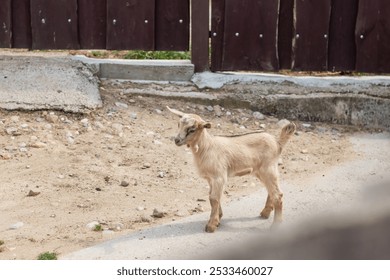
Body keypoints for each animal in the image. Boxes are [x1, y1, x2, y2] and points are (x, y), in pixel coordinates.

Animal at [167, 106, 296, 233]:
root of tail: (278, 142)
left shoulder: (219, 176)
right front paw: (218, 218)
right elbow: (212, 197)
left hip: (268, 168)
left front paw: (211, 225)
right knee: (271, 190)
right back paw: (265, 213)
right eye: (178, 124)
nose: (177, 140)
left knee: (277, 194)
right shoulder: (211, 178)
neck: (207, 147)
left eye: (192, 129)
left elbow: (214, 198)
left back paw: (276, 225)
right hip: (261, 170)